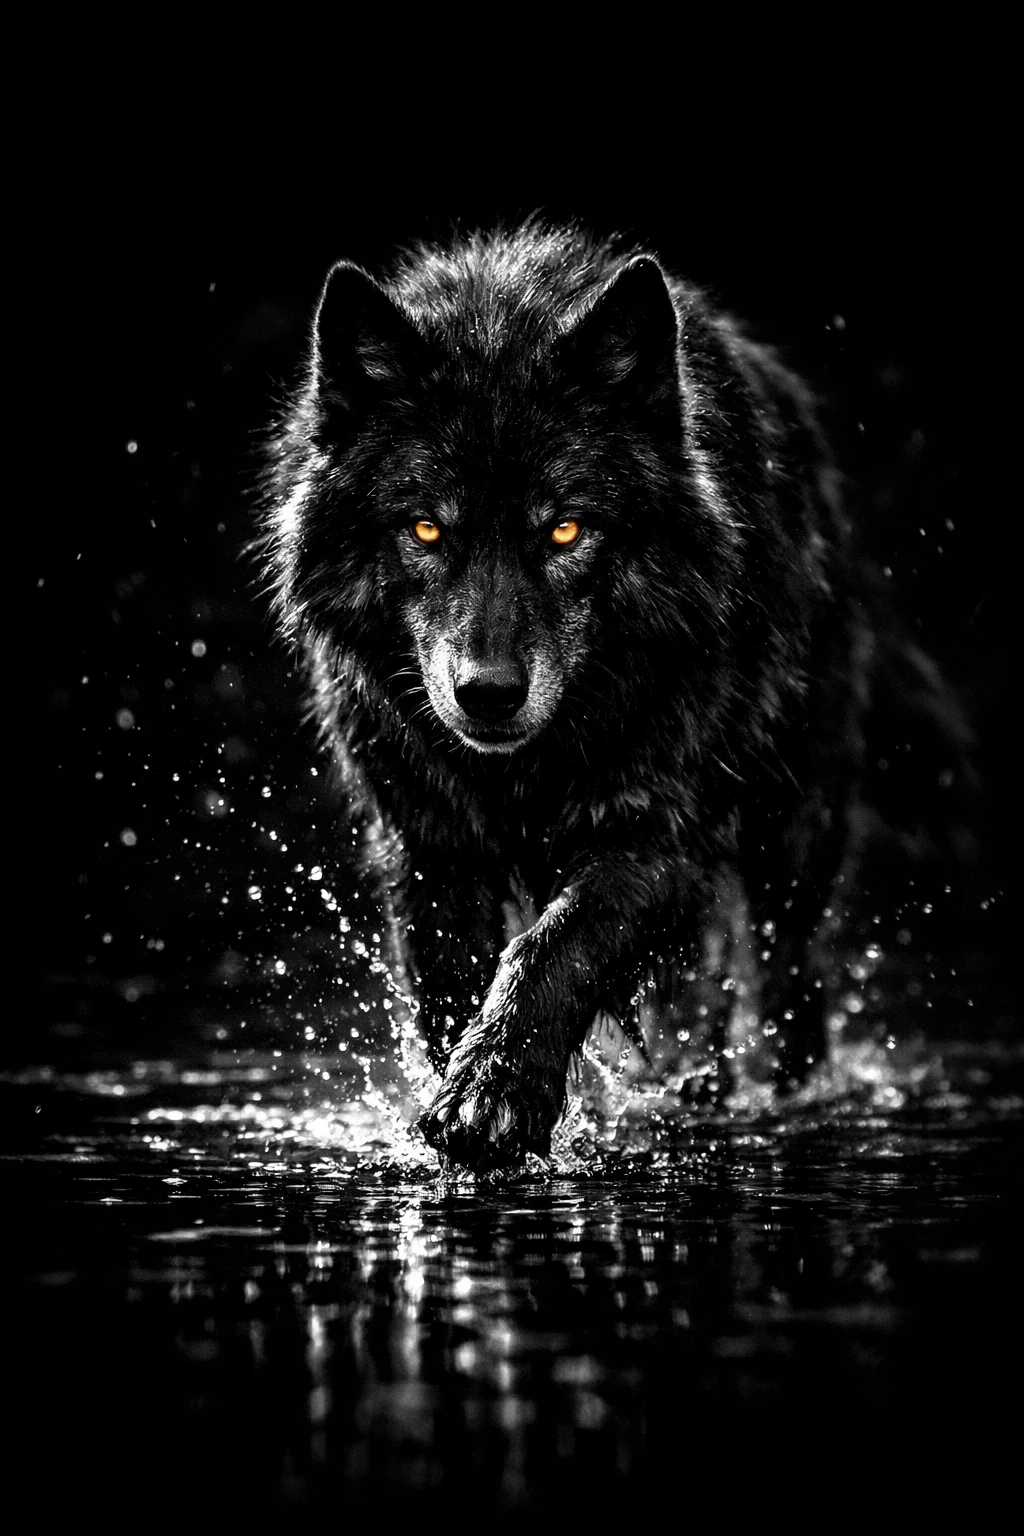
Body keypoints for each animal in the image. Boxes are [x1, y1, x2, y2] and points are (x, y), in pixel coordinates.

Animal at [260, 220, 950, 1169]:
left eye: (565, 528)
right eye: (427, 529)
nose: (487, 695)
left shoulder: (654, 834)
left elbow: (560, 942)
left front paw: (494, 1089)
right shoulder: (428, 844)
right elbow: (450, 983)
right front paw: (469, 1083)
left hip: (789, 843)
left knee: (786, 990)